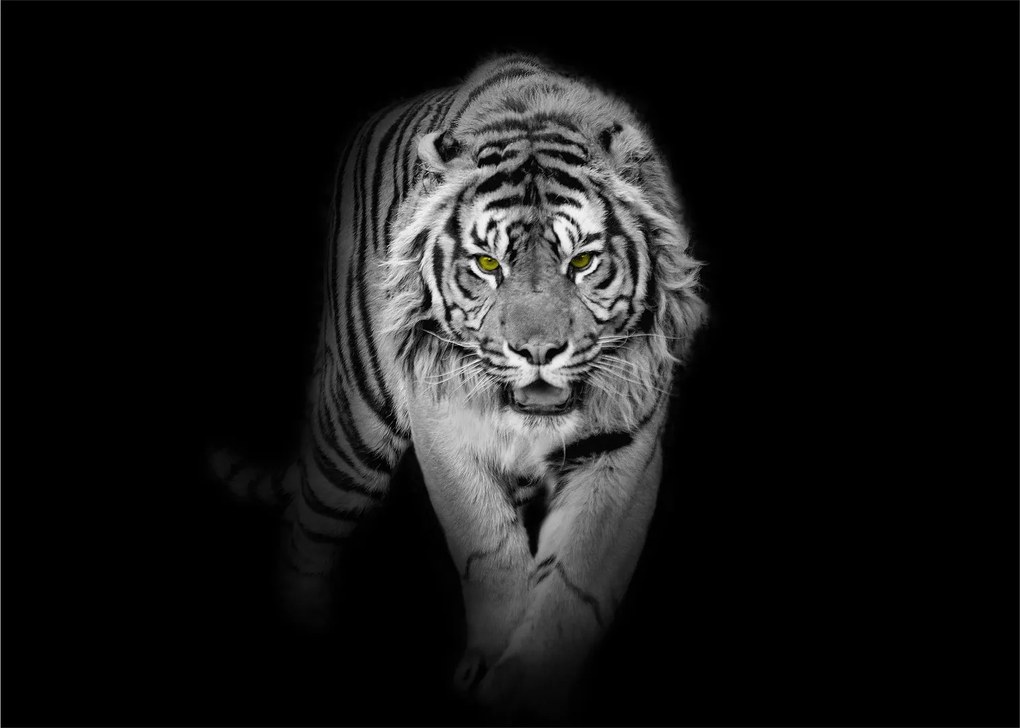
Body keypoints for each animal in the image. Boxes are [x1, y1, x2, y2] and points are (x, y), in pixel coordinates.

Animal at [212, 53, 706, 719]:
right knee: (305, 533)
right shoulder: (443, 428)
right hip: (354, 428)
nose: (537, 352)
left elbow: (574, 583)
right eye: (488, 264)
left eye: (582, 261)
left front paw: (522, 685)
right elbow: (489, 551)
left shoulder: (623, 448)